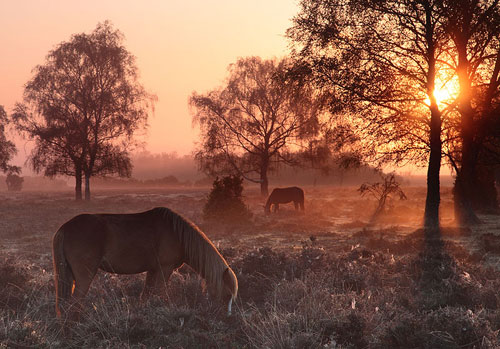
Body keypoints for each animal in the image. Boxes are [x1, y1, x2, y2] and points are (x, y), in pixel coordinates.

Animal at [52, 207, 238, 318]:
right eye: (226, 294)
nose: (227, 317)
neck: (177, 234)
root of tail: (65, 228)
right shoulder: (165, 269)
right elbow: (162, 294)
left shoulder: (153, 270)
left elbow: (146, 295)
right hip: (85, 275)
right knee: (73, 305)